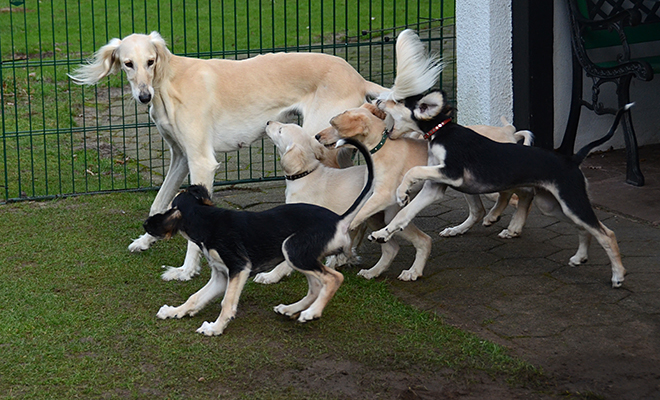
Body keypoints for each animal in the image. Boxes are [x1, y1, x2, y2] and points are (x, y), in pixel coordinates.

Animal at [143, 136, 372, 336]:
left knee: (334, 278)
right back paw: (291, 309)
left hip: (292, 250)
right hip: (302, 256)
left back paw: (312, 312)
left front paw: (216, 328)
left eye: (167, 209)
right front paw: (175, 311)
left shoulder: (239, 267)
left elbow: (227, 302)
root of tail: (339, 220)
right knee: (316, 286)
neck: (207, 219)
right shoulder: (221, 275)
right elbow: (195, 297)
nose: (145, 224)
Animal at [368, 90, 632, 288]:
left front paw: (401, 192)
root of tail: (573, 159)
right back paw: (580, 257)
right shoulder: (435, 186)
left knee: (607, 234)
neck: (442, 131)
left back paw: (618, 275)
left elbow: (413, 172)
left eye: (397, 101)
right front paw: (383, 233)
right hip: (554, 205)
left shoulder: (452, 172)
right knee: (585, 228)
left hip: (572, 201)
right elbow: (404, 213)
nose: (376, 100)